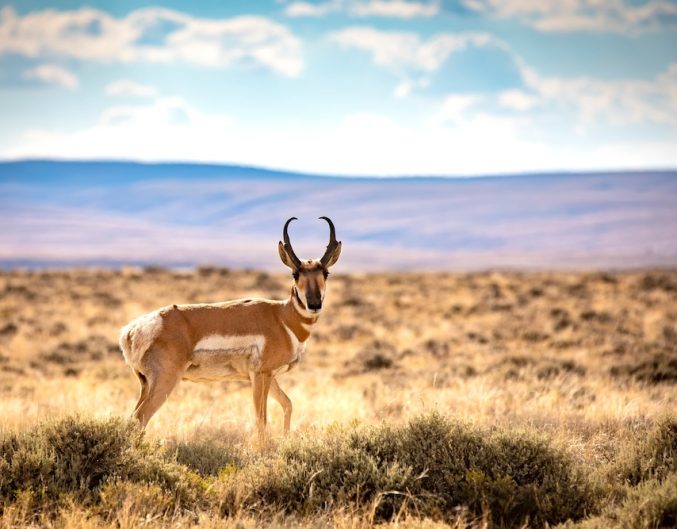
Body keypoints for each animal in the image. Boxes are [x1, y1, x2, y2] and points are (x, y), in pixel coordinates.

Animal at [118, 217, 341, 444]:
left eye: (326, 273)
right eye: (295, 274)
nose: (314, 304)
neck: (282, 317)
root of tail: (131, 331)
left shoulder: (268, 376)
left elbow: (287, 403)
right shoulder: (261, 375)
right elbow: (261, 420)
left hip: (146, 385)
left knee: (132, 419)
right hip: (165, 381)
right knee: (140, 417)